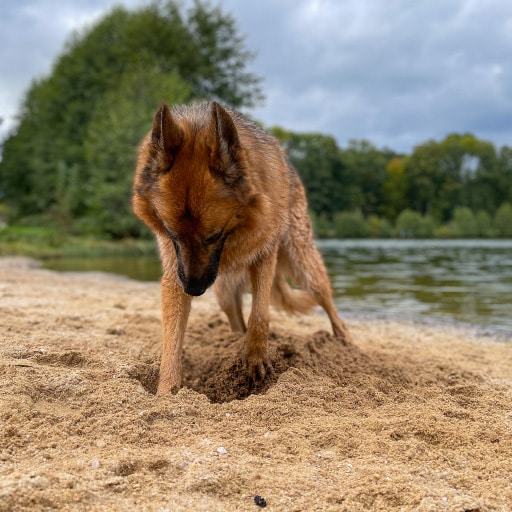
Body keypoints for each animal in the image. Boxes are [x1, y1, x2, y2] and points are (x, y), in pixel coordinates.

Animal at [131, 101, 352, 396]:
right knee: (236, 321)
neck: (234, 236)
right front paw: (167, 391)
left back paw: (345, 339)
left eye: (213, 236)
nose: (193, 290)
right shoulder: (174, 273)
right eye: (171, 234)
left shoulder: (265, 256)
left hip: (305, 267)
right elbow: (172, 340)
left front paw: (255, 360)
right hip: (223, 292)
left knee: (327, 302)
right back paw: (232, 344)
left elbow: (259, 315)